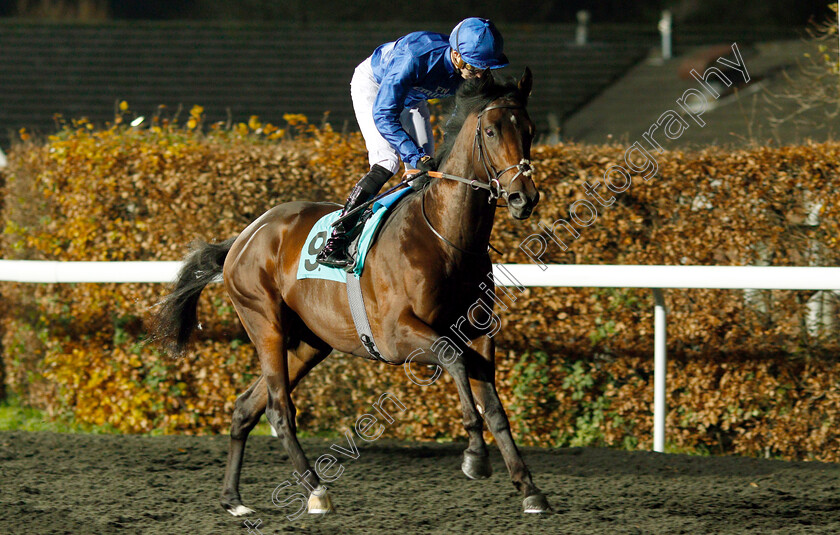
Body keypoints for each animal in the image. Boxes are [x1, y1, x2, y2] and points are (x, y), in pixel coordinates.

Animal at [154, 67, 552, 520]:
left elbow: (494, 406)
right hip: (264, 323)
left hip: (310, 342)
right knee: (278, 408)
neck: (446, 237)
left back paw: (233, 498)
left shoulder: (479, 331)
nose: (523, 197)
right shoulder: (396, 336)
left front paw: (529, 489)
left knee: (245, 407)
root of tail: (243, 236)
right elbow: (453, 358)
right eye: (489, 130)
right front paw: (474, 456)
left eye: (530, 130)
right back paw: (315, 489)